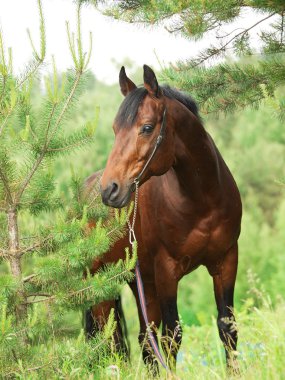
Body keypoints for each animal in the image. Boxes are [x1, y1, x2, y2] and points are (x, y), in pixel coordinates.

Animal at [85, 64, 241, 372]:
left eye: (146, 128)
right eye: (115, 129)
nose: (110, 190)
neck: (203, 202)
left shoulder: (227, 260)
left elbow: (227, 327)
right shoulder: (167, 271)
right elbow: (172, 337)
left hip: (140, 282)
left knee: (145, 340)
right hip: (101, 288)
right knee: (109, 345)